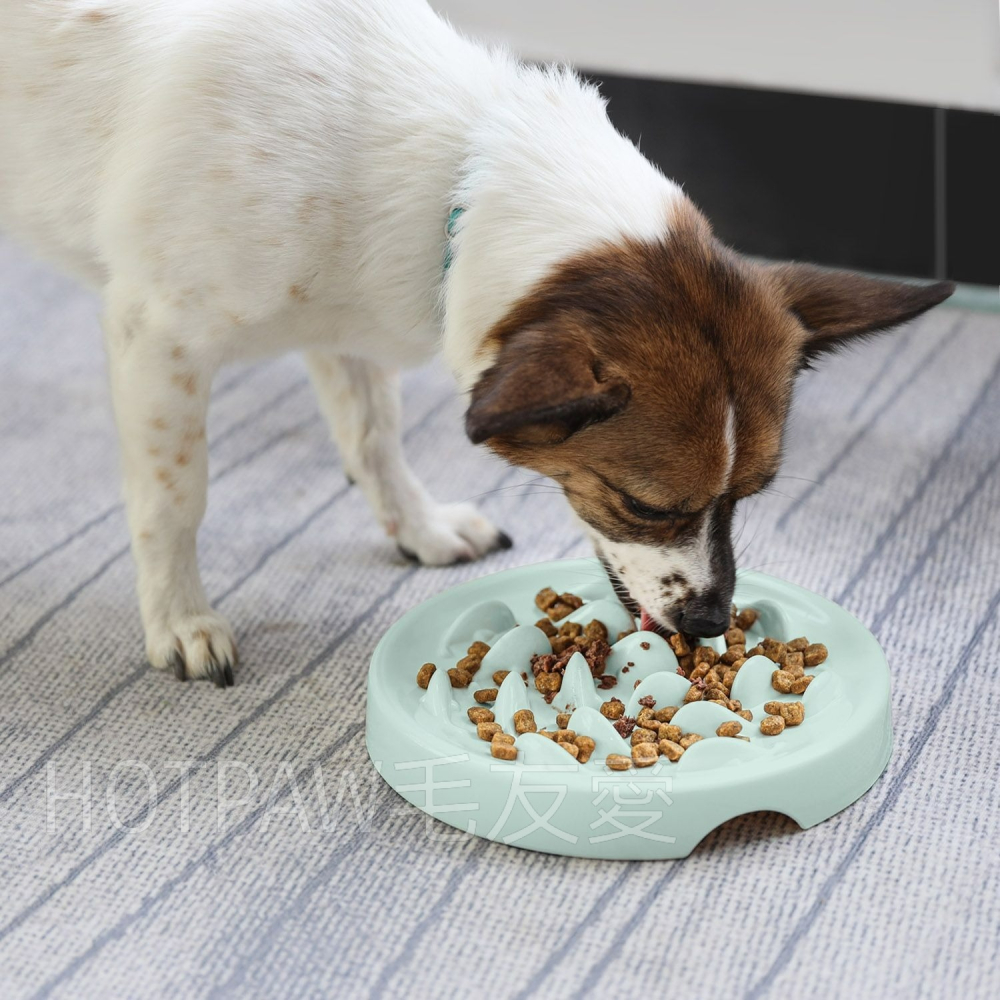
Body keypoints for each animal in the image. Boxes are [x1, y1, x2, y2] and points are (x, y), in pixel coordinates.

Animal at [0, 0, 952, 684]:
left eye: (748, 496)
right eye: (645, 506)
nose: (712, 623)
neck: (451, 166)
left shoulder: (340, 319)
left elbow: (373, 436)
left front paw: (416, 527)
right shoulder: (157, 336)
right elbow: (174, 501)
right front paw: (180, 619)